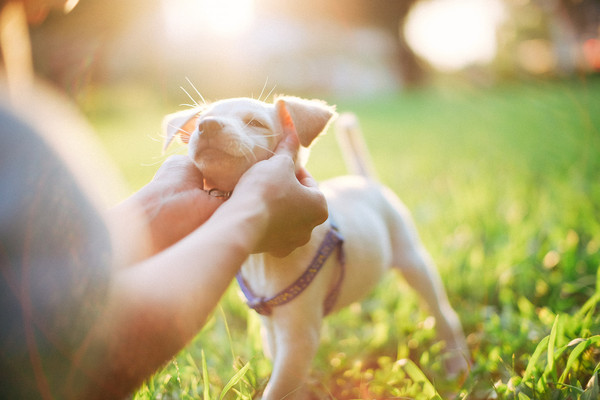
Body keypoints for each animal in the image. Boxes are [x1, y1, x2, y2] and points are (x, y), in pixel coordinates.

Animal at [163, 95, 468, 398]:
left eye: (256, 123)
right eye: (203, 119)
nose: (208, 125)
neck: (263, 258)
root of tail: (365, 180)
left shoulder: (299, 335)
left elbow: (278, 388)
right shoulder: (271, 328)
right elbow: (286, 378)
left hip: (412, 257)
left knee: (443, 314)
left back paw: (457, 364)